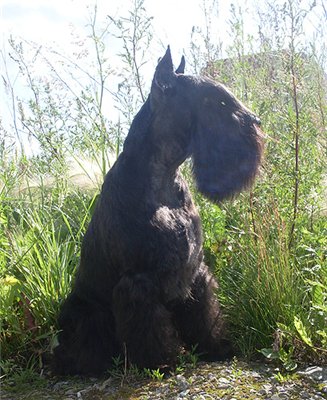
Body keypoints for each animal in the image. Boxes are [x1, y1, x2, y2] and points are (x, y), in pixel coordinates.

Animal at [53, 47, 264, 376]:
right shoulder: (139, 282)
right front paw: (159, 362)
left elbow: (205, 316)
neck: (163, 178)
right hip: (84, 312)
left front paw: (216, 348)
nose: (255, 122)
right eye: (211, 100)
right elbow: (147, 328)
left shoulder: (196, 273)